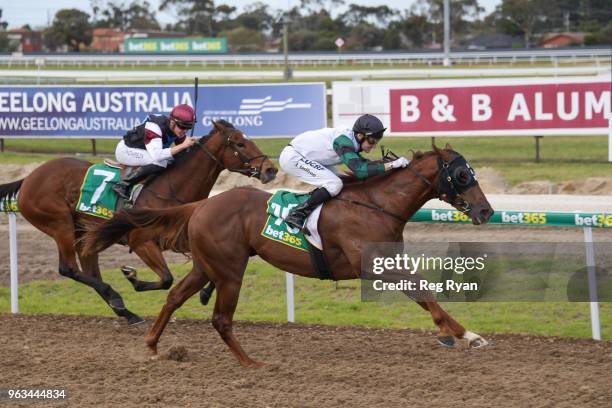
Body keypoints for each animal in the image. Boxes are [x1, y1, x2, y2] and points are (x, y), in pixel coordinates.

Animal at [0, 121, 278, 326]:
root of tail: (30, 177)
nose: (270, 169)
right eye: (240, 143)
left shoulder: (191, 238)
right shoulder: (142, 242)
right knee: (68, 268)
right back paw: (117, 298)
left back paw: (125, 311)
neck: (171, 189)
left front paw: (205, 292)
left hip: (85, 232)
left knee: (88, 270)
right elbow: (166, 278)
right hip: (60, 224)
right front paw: (133, 278)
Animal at [81, 144, 492, 366]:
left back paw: (152, 346)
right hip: (229, 270)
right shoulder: (374, 265)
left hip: (206, 265)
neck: (376, 204)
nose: (486, 211)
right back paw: (250, 363)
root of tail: (202, 204)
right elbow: (423, 293)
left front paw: (458, 333)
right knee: (220, 319)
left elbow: (423, 291)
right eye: (462, 175)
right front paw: (464, 334)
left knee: (174, 298)